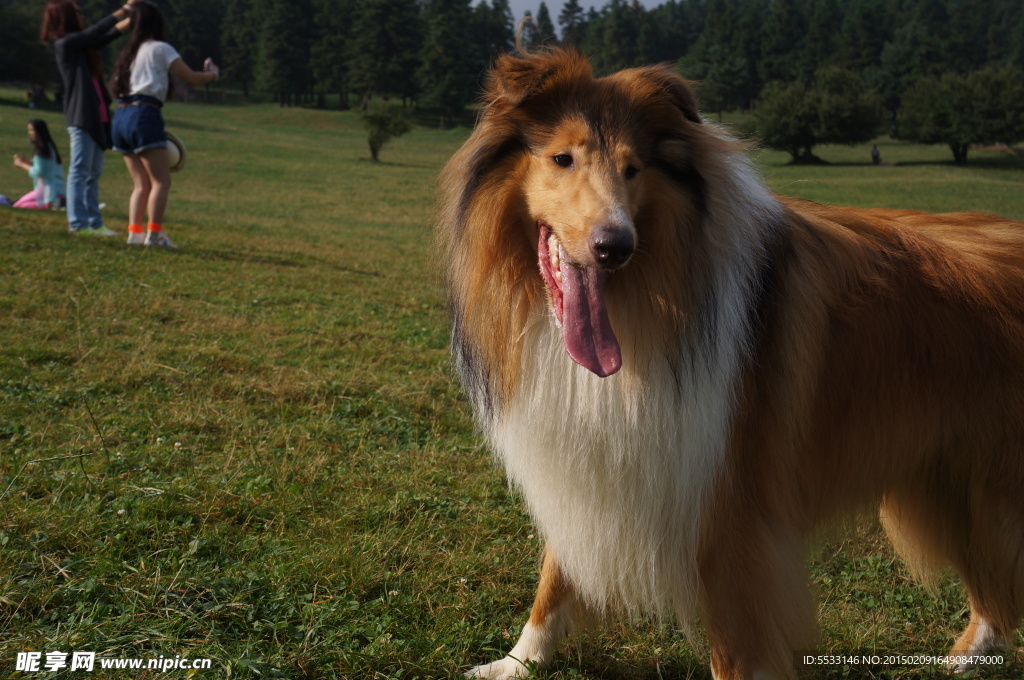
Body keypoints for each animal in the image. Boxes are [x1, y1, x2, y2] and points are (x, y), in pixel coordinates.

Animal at [438, 47, 1024, 680]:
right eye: (561, 158)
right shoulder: (597, 466)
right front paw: (514, 664)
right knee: (994, 588)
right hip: (952, 479)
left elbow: (735, 650)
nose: (615, 247)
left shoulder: (730, 513)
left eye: (634, 168)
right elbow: (554, 578)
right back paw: (969, 655)